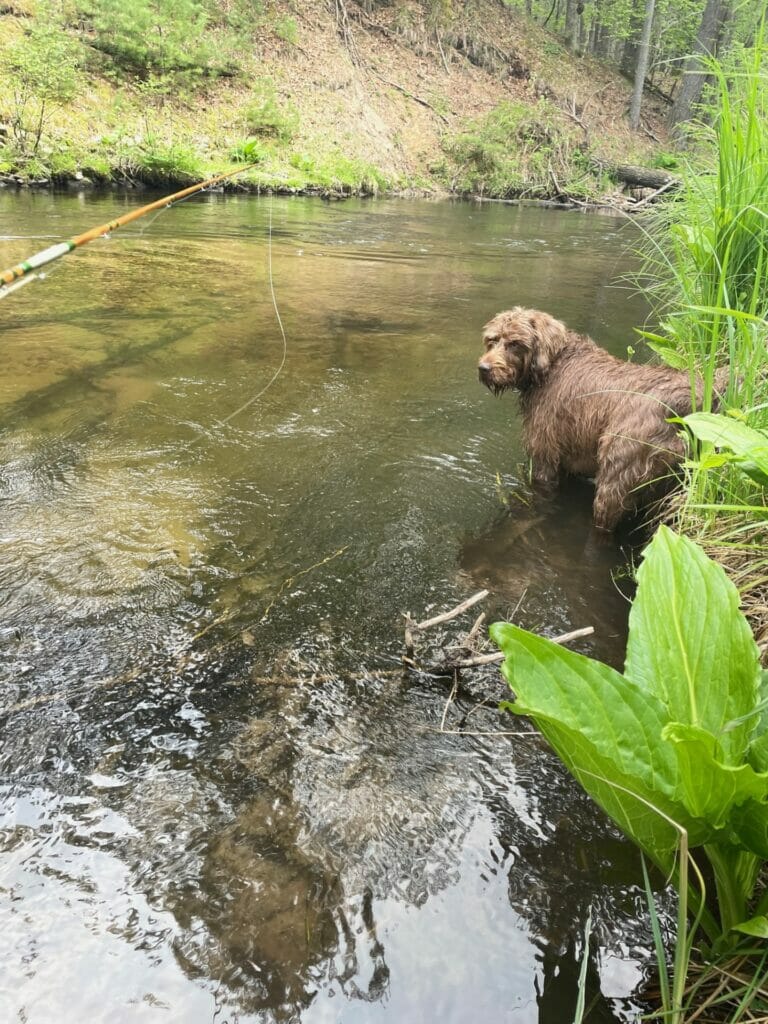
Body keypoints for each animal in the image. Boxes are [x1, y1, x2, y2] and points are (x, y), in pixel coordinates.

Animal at [479, 307, 724, 532]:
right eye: (492, 340)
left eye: (514, 343)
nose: (484, 368)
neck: (552, 364)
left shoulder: (545, 452)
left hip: (620, 469)